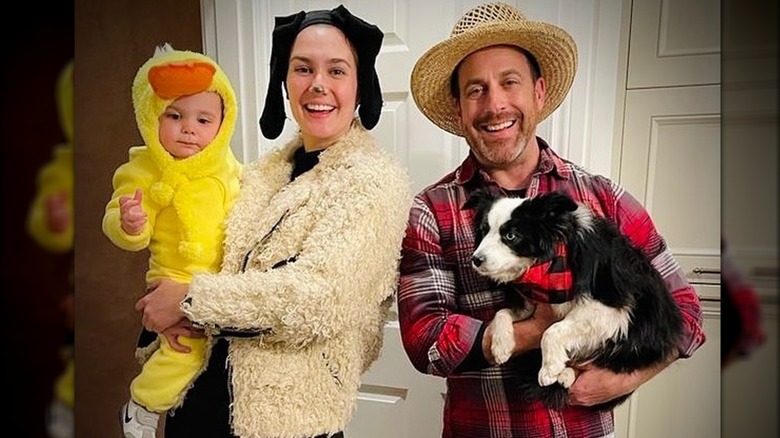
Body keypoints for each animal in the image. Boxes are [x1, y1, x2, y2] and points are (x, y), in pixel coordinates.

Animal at [464, 188, 684, 410]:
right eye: (483, 231)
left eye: (511, 236)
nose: (475, 260)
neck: (547, 264)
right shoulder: (531, 303)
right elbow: (501, 313)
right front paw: (501, 346)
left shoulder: (612, 308)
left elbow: (552, 331)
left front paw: (549, 369)